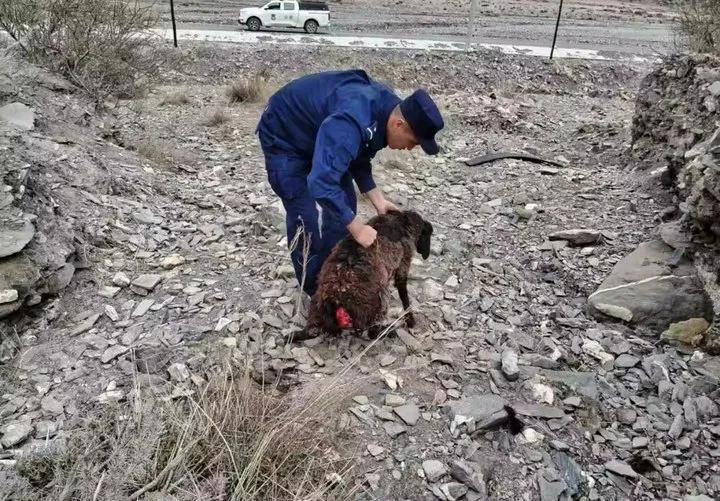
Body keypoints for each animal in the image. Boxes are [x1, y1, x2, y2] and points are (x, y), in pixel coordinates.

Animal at [298, 209, 433, 340]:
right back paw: (388, 332)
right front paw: (411, 321)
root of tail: (334, 297)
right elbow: (404, 296)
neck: (404, 221)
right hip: (381, 299)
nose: (426, 255)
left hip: (316, 307)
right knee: (372, 332)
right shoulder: (403, 264)